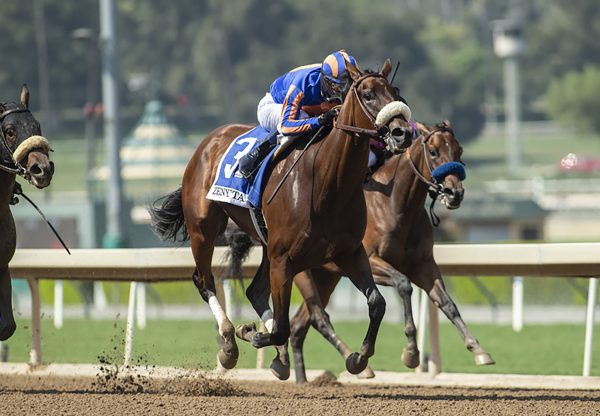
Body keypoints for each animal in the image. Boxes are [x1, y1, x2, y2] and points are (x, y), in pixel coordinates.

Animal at [149, 58, 412, 374]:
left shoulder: (349, 252)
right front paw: (250, 332)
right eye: (369, 94)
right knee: (204, 280)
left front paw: (358, 358)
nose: (402, 133)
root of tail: (207, 142)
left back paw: (279, 356)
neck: (327, 184)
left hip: (267, 245)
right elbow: (281, 327)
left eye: (396, 92)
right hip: (204, 228)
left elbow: (376, 303)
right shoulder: (284, 260)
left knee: (255, 291)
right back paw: (229, 343)